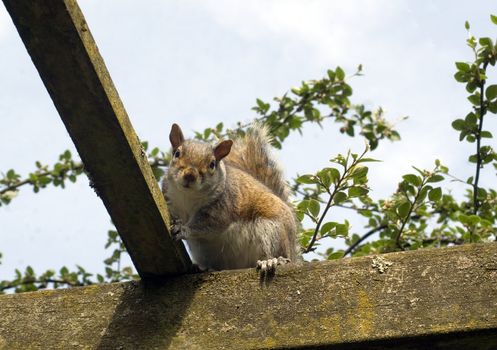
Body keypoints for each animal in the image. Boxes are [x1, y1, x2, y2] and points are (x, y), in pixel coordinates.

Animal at [161, 123, 296, 274]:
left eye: (212, 164)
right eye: (177, 153)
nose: (190, 175)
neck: (188, 196)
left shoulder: (222, 207)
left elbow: (206, 225)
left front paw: (183, 229)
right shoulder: (169, 198)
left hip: (273, 231)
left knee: (279, 253)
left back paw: (273, 261)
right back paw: (203, 268)